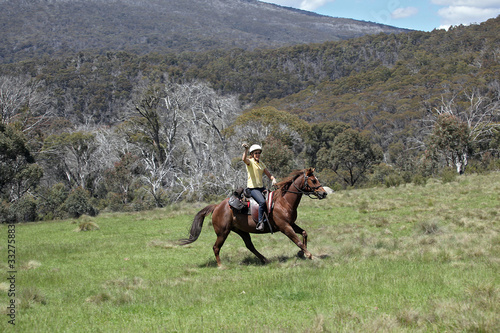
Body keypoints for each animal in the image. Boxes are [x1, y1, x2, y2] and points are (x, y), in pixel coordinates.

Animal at [180, 167, 328, 266]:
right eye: (313, 180)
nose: (324, 193)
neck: (284, 201)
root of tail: (217, 206)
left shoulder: (291, 224)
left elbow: (304, 233)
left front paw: (301, 253)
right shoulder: (285, 227)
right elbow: (297, 240)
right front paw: (310, 255)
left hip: (241, 231)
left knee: (249, 246)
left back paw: (265, 259)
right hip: (223, 232)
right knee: (216, 247)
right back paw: (221, 266)